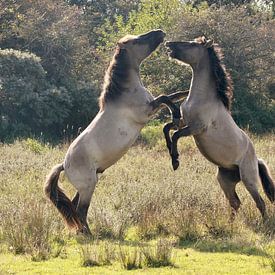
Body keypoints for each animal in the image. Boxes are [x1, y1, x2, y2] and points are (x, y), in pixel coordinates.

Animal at [45, 30, 188, 237]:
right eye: (137, 40)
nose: (160, 33)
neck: (125, 94)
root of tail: (64, 165)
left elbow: (174, 95)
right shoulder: (146, 112)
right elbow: (165, 98)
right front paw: (176, 115)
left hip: (88, 184)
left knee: (74, 207)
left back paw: (82, 232)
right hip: (89, 186)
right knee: (81, 210)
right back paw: (89, 235)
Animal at [165, 36, 274, 221]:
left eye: (191, 44)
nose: (168, 44)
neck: (202, 98)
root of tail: (256, 159)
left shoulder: (196, 128)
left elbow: (176, 135)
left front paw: (175, 161)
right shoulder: (183, 122)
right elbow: (167, 128)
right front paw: (170, 153)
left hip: (248, 179)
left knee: (260, 202)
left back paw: (263, 222)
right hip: (225, 180)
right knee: (235, 202)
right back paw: (230, 223)